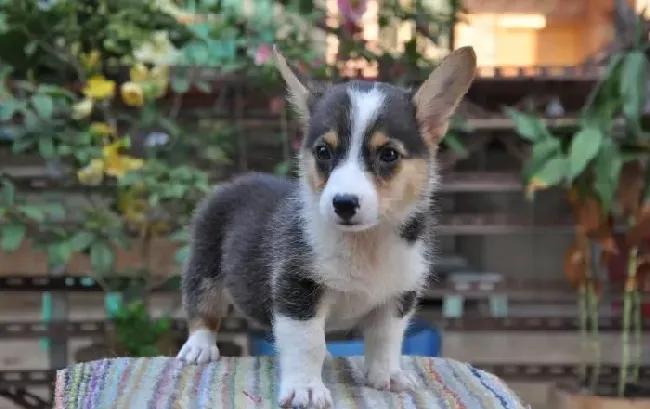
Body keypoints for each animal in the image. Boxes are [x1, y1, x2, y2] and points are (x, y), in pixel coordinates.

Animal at [177, 46, 476, 406]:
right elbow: (307, 343)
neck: (364, 242)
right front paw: (305, 388)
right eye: (323, 151)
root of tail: (236, 181)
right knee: (203, 306)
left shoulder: (398, 295)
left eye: (389, 154)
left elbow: (386, 339)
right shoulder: (297, 290)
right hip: (205, 263)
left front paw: (385, 376)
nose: (344, 203)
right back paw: (199, 346)